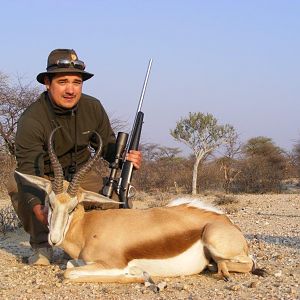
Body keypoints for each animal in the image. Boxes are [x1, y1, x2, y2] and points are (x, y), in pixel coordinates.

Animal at [15, 127, 264, 282]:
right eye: (49, 202)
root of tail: (227, 222)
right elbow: (68, 267)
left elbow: (68, 273)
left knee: (248, 263)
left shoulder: (112, 263)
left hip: (215, 241)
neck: (86, 229)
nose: (54, 238)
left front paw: (134, 275)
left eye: (74, 207)